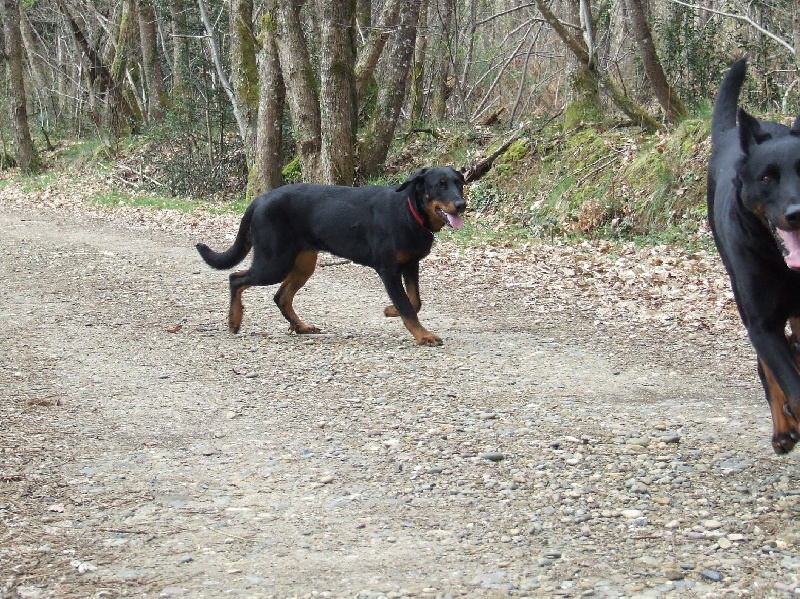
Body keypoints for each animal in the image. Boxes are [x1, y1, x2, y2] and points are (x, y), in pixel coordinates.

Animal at [196, 168, 466, 346]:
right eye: (440, 185)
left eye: (459, 183)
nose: (462, 204)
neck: (410, 212)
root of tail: (259, 200)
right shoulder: (388, 269)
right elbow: (408, 306)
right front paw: (423, 335)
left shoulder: (411, 265)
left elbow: (415, 301)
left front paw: (391, 311)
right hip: (273, 262)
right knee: (236, 278)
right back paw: (234, 320)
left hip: (303, 263)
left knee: (281, 296)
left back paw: (301, 326)